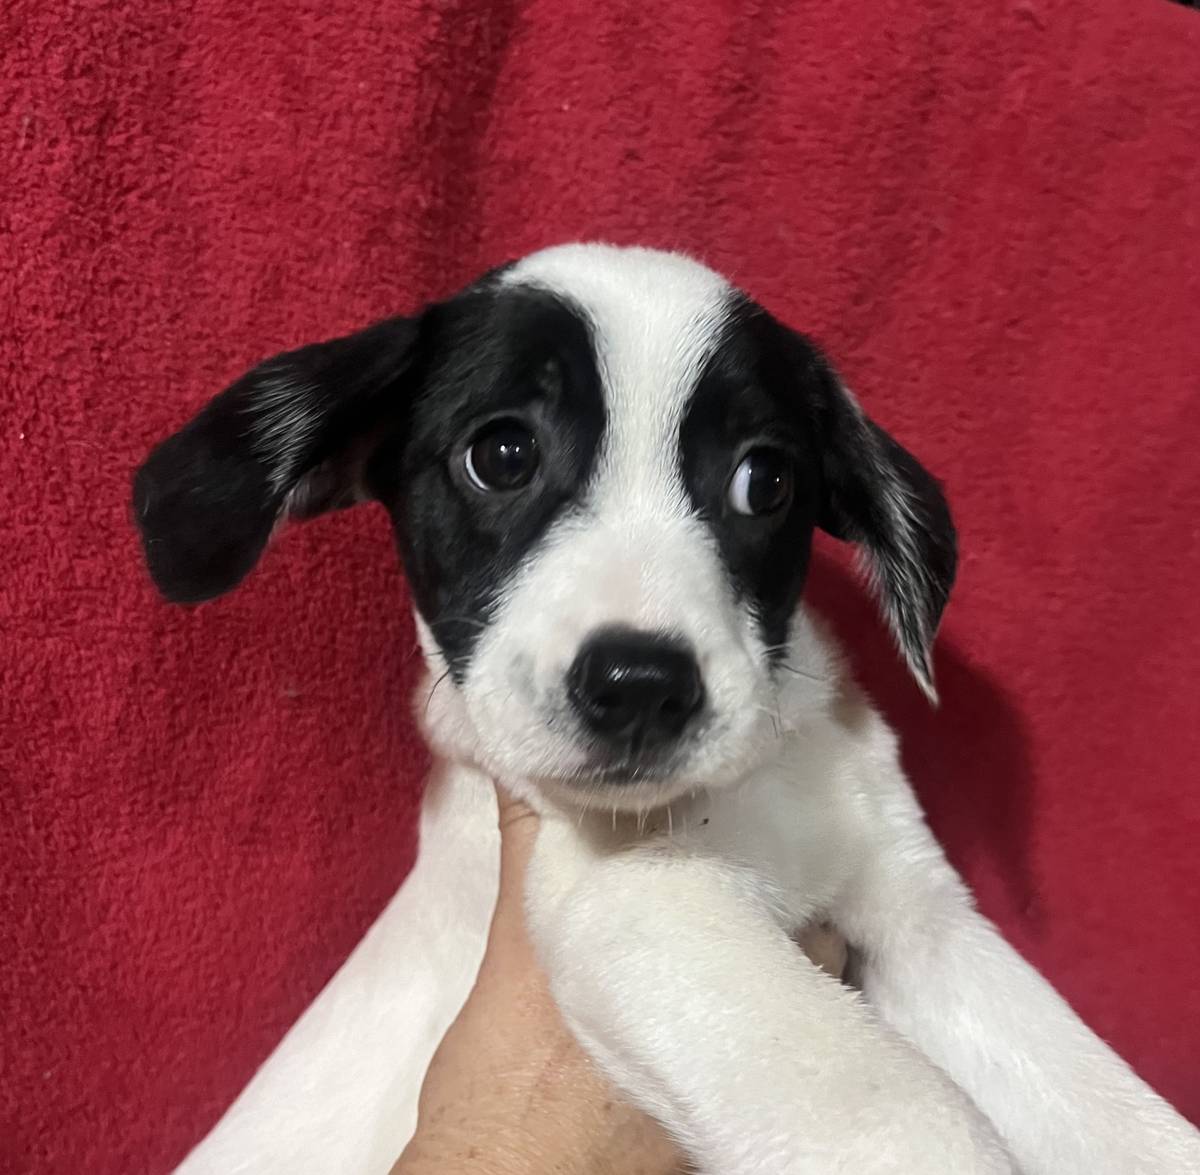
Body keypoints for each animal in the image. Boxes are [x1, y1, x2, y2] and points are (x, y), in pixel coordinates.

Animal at [134, 244, 1200, 1174]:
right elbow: (899, 1113)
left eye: (765, 479)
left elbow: (1104, 1109)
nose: (640, 685)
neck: (754, 788)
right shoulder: (632, 902)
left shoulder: (915, 915)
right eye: (501, 454)